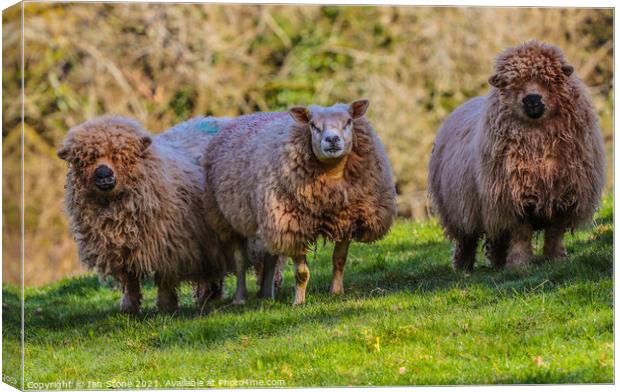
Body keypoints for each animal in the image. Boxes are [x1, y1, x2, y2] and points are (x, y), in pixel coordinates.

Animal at [56, 115, 228, 312]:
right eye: (85, 159)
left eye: (120, 156)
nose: (104, 174)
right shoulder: (120, 251)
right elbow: (129, 281)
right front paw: (129, 309)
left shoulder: (168, 246)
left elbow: (164, 279)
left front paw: (166, 307)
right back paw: (208, 297)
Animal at [203, 99, 398, 304]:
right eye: (313, 125)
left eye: (348, 122)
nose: (332, 139)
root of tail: (244, 116)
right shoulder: (293, 226)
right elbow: (302, 272)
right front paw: (299, 302)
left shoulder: (347, 219)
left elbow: (339, 259)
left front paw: (336, 292)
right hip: (229, 218)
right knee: (240, 260)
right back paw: (240, 298)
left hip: (269, 218)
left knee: (270, 255)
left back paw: (267, 295)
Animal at [428, 41, 604, 272]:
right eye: (512, 84)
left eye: (550, 79)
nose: (532, 100)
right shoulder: (512, 199)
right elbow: (521, 234)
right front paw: (520, 264)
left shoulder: (563, 195)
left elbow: (554, 233)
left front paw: (556, 259)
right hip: (459, 209)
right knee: (466, 240)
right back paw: (463, 268)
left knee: (496, 239)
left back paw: (497, 264)